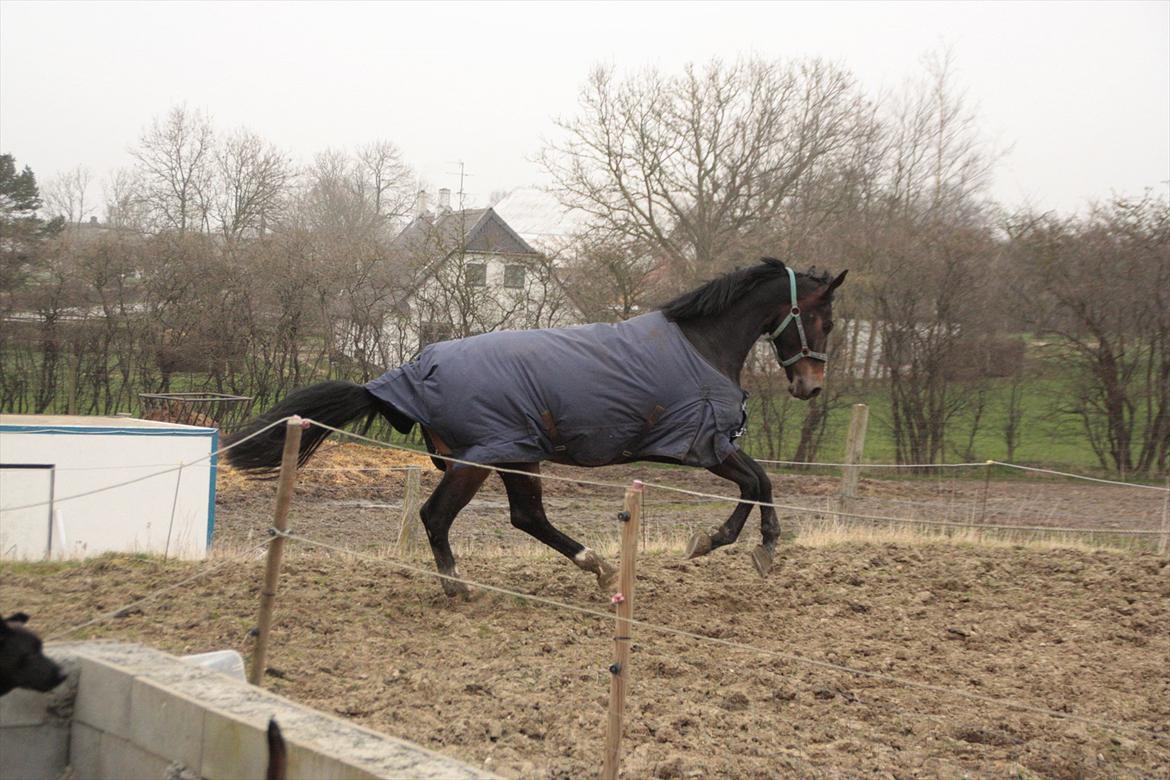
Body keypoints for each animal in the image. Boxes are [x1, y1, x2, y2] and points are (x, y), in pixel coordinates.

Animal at [223, 257, 847, 598]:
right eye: (824, 318)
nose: (811, 386)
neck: (701, 344)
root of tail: (407, 372)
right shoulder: (706, 445)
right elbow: (759, 482)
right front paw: (738, 545)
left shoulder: (705, 447)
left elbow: (758, 483)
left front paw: (733, 544)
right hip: (483, 457)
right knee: (438, 516)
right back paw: (458, 583)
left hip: (517, 454)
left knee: (527, 518)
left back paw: (598, 567)